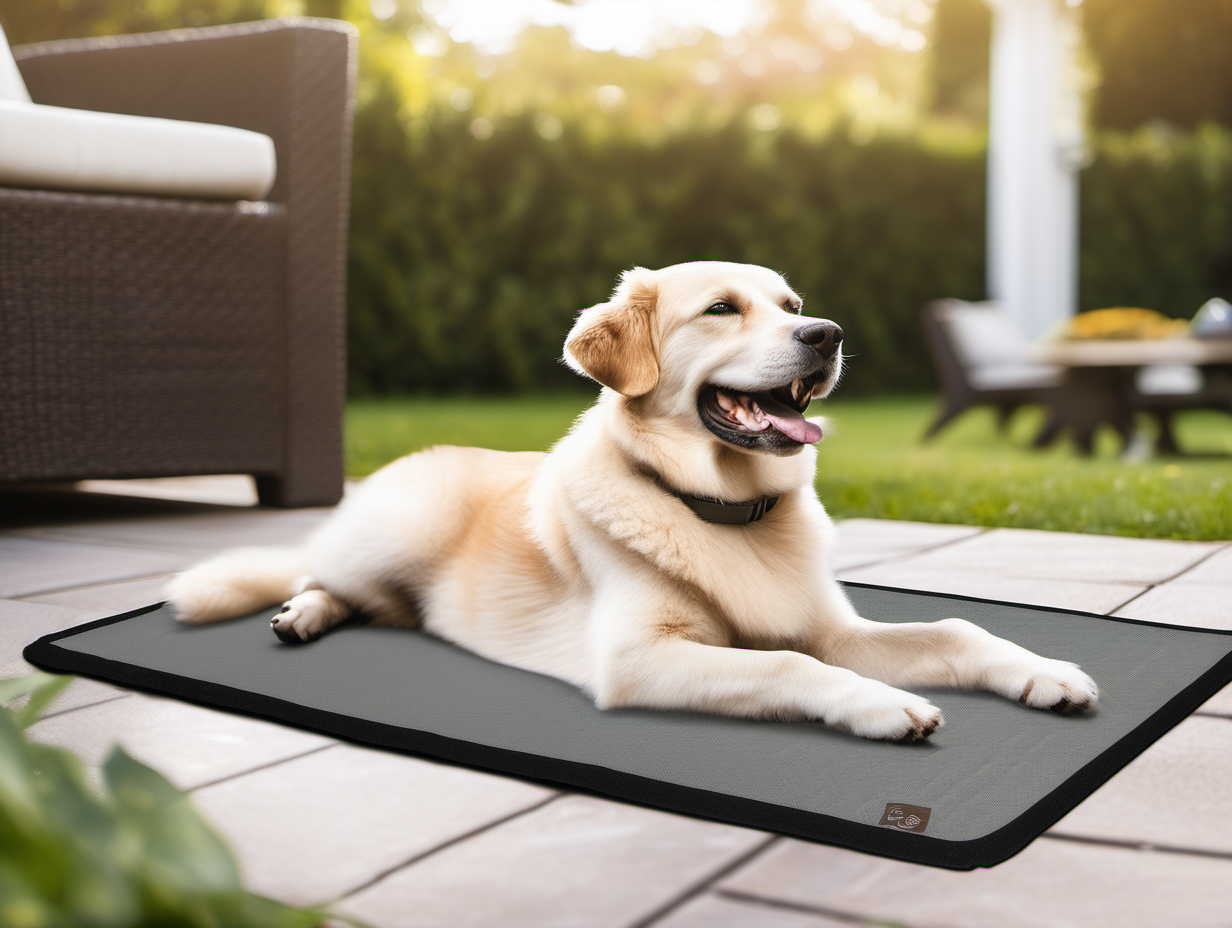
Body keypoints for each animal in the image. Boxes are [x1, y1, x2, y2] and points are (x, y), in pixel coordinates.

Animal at [166, 258, 1098, 739]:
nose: (828, 336)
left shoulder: (833, 628)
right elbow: (788, 665)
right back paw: (301, 611)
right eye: (722, 309)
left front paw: (1043, 672)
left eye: (792, 305)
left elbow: (955, 629)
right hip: (394, 529)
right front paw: (882, 704)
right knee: (317, 575)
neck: (725, 511)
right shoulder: (639, 658)